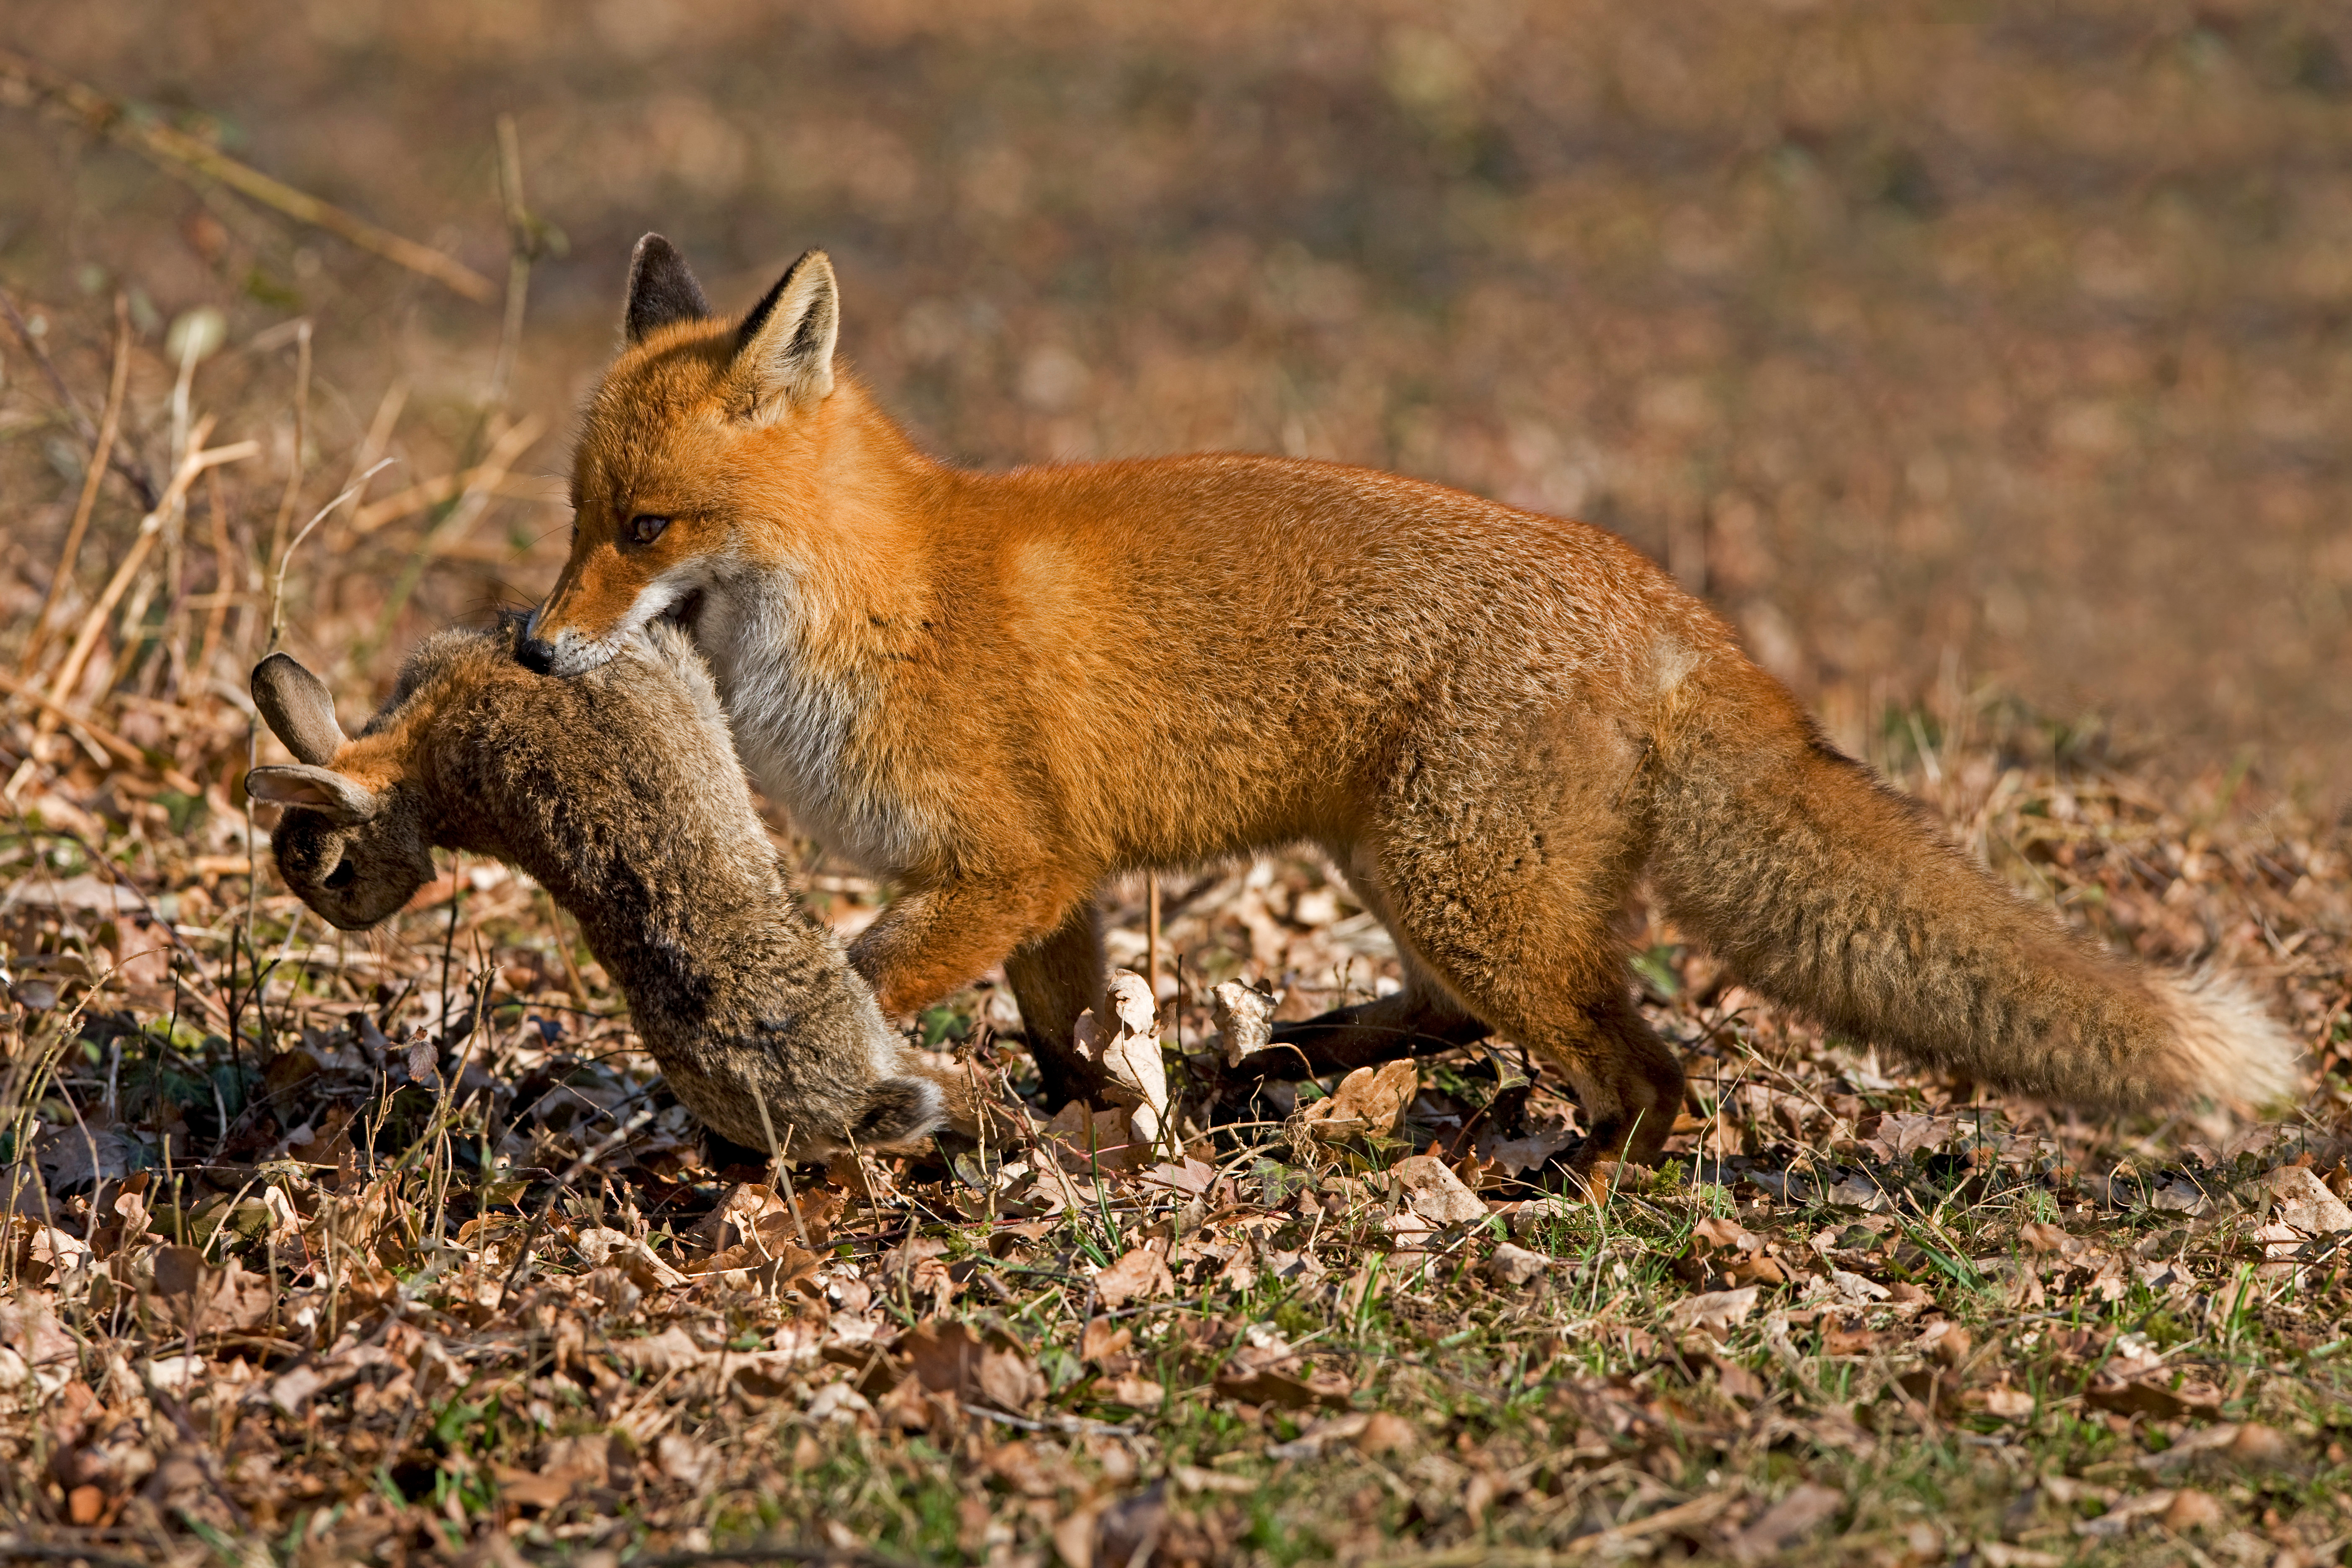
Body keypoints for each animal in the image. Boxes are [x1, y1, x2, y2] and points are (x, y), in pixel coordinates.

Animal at [520, 232, 2295, 1166]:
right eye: (574, 518)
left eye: (647, 529)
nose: (534, 649)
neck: (875, 595)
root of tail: (1661, 597)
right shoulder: (1053, 882)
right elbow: (1066, 1037)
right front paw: (1098, 1135)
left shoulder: (1007, 862)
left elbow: (854, 971)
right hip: (1419, 868)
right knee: (1483, 1009)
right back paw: (1295, 1063)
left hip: (1456, 880)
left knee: (1643, 1072)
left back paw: (1579, 1184)